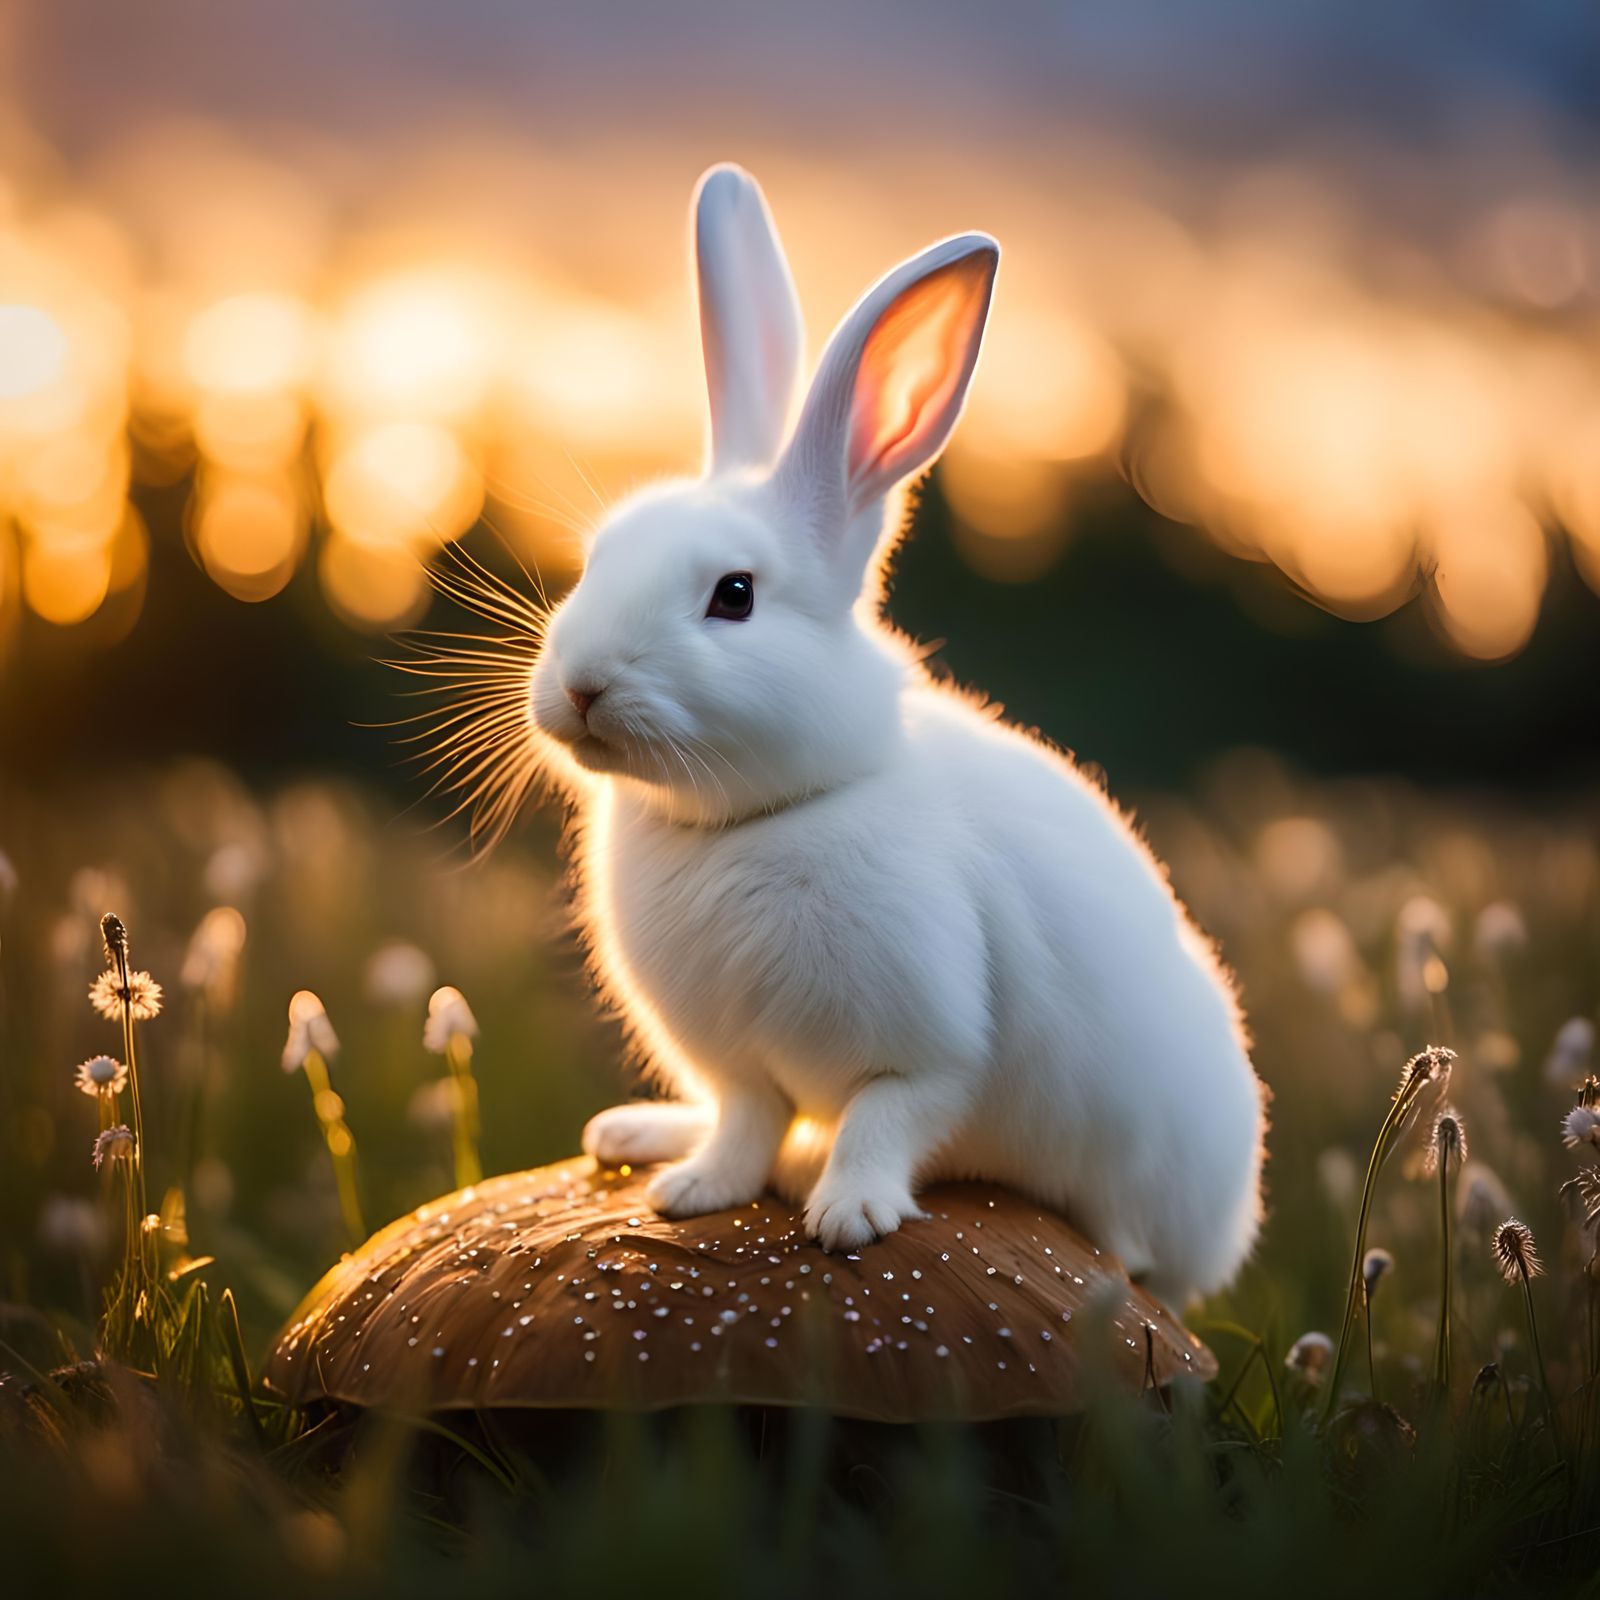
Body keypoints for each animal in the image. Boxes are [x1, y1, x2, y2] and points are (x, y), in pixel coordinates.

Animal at [522, 164, 1266, 1306]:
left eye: (734, 596)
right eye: (596, 557)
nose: (582, 688)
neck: (755, 820)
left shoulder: (928, 1045)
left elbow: (886, 1118)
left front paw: (848, 1214)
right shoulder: (739, 1061)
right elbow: (744, 1122)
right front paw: (697, 1190)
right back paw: (643, 1134)